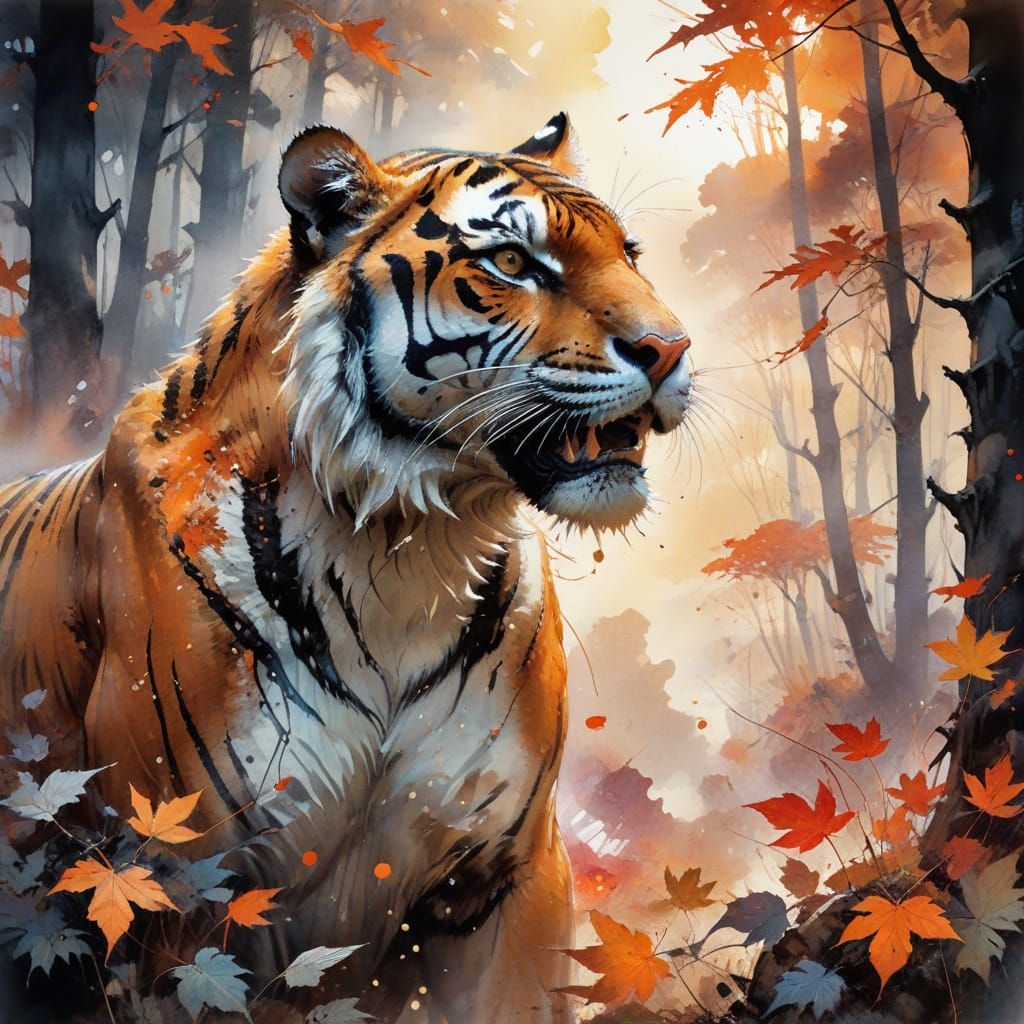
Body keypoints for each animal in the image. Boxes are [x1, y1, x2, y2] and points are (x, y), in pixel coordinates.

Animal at [0, 113, 691, 1022]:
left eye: (630, 253)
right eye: (512, 262)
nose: (671, 348)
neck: (403, 549)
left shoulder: (502, 876)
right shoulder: (178, 895)